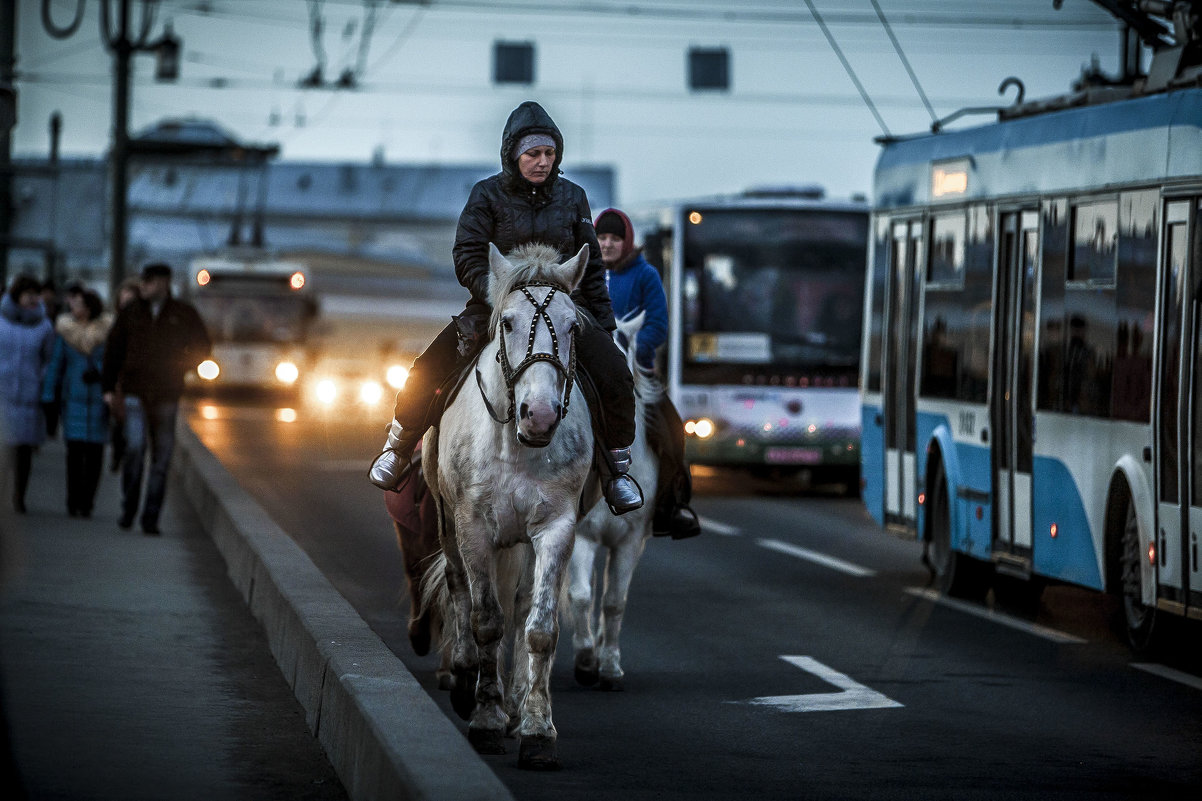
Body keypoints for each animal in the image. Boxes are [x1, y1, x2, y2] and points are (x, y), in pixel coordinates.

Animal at [423, 238, 601, 769]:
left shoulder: (556, 528)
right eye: (506, 322)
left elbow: (539, 627)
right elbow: (484, 620)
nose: (539, 416)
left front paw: (538, 730)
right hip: (448, 524)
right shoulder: (473, 527)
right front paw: (484, 719)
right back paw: (467, 682)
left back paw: (516, 705)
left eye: (572, 326)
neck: (517, 444)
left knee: (520, 608)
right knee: (461, 592)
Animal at [562, 307, 658, 687]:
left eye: (627, 353)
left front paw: (610, 666)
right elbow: (581, 596)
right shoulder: (582, 535)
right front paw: (586, 660)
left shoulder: (630, 541)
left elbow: (615, 601)